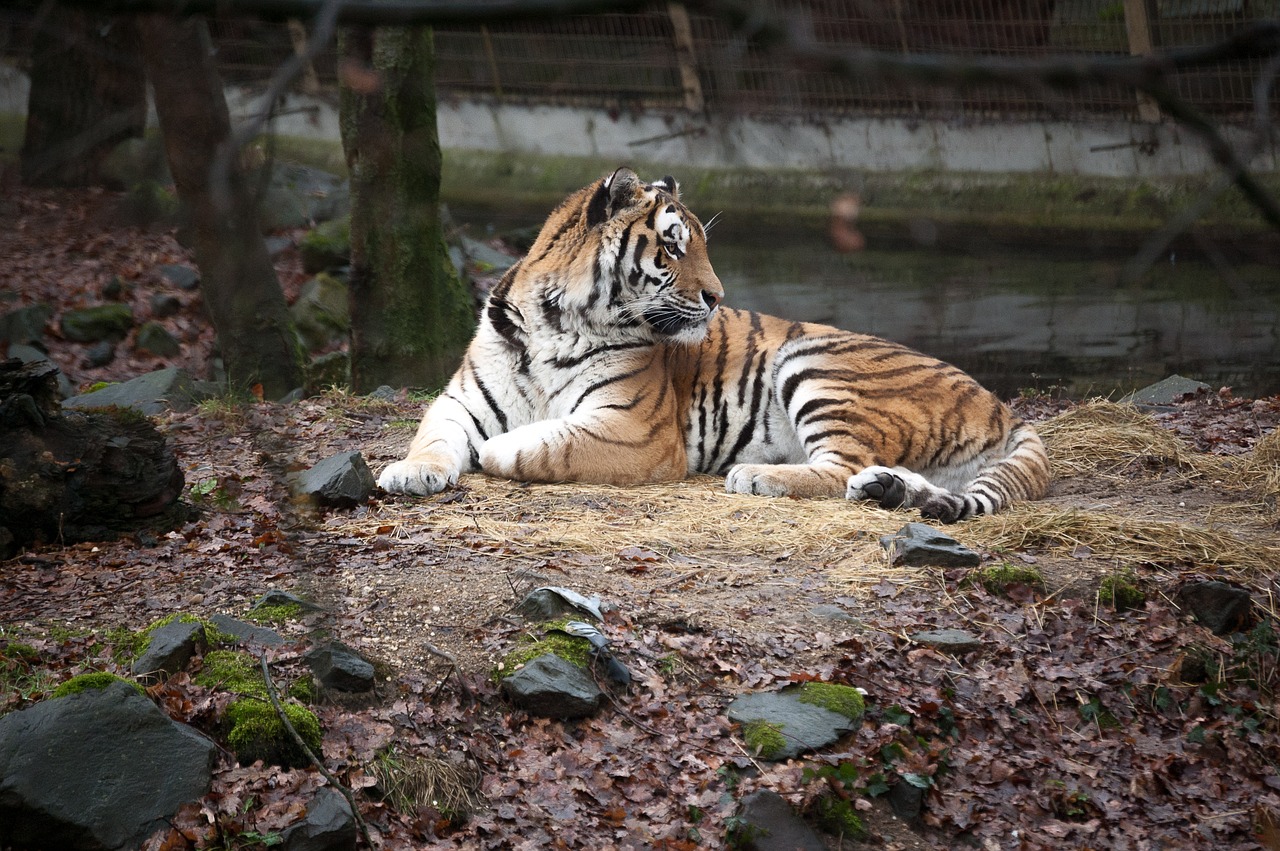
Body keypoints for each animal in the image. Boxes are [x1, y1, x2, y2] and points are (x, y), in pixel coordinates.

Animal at [376, 168, 1049, 522]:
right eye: (673, 247)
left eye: (699, 244)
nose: (718, 296)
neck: (553, 321)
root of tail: (1002, 405)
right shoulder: (459, 400)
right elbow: (433, 436)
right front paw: (409, 472)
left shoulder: (633, 430)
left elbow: (544, 443)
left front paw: (499, 448)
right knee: (888, 476)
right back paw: (892, 491)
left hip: (815, 362)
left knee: (841, 464)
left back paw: (758, 476)